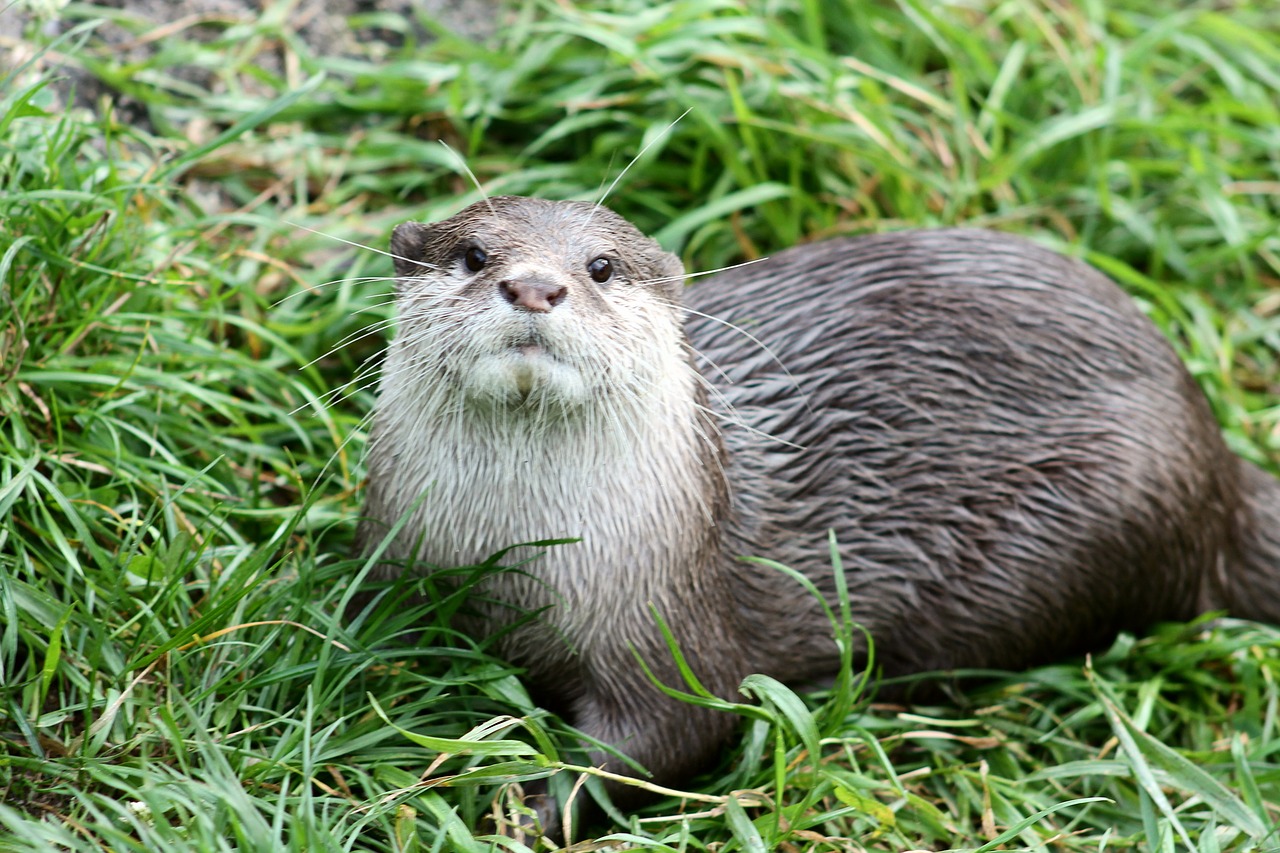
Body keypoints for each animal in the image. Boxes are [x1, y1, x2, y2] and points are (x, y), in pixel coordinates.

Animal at [355, 192, 1280, 829]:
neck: (518, 559)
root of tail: (1220, 466)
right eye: (474, 253)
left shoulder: (672, 630)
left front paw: (522, 811)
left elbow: (656, 745)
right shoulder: (389, 569)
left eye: (602, 268)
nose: (535, 286)